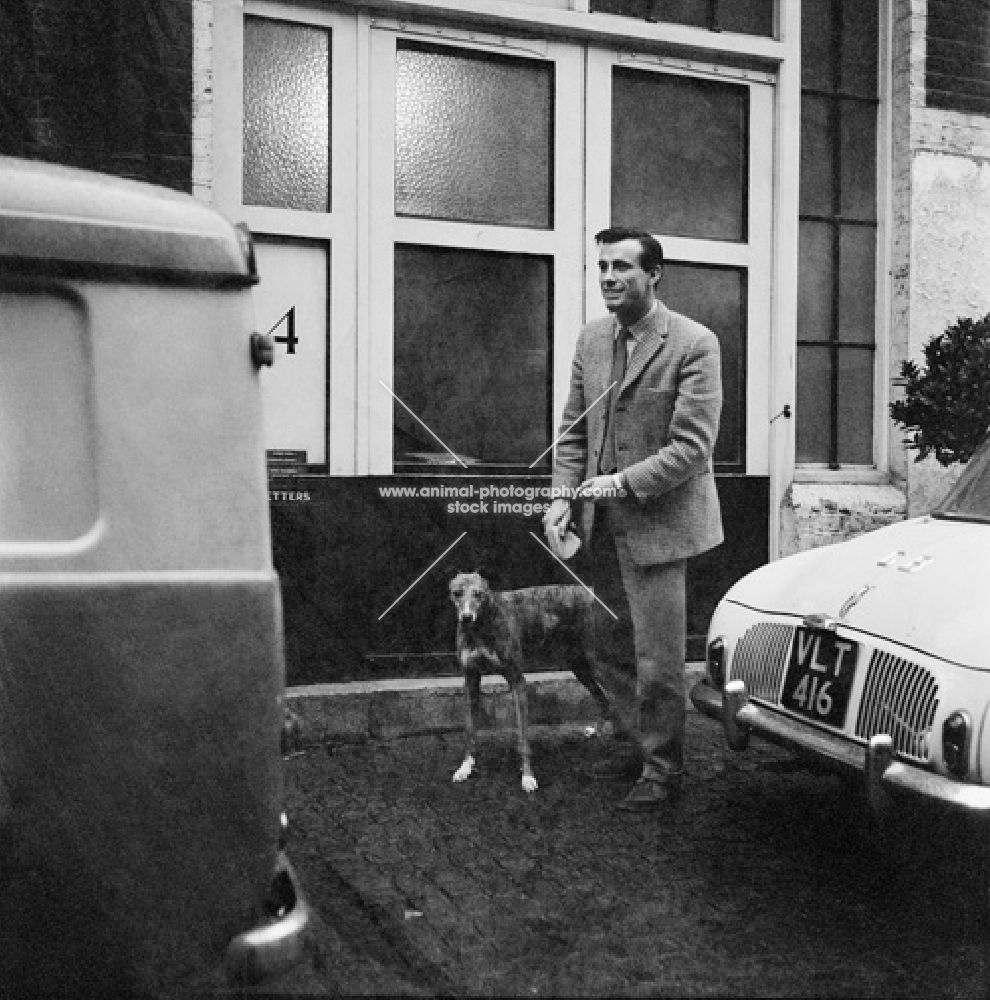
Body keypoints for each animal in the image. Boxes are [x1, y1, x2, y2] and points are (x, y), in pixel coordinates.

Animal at [448, 576, 612, 792]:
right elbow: (469, 730)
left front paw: (527, 776)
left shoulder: (517, 681)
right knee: (603, 699)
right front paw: (465, 767)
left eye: (478, 593)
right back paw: (597, 731)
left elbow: (523, 739)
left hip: (595, 662)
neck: (482, 625)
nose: (466, 617)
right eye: (457, 593)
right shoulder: (471, 681)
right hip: (579, 666)